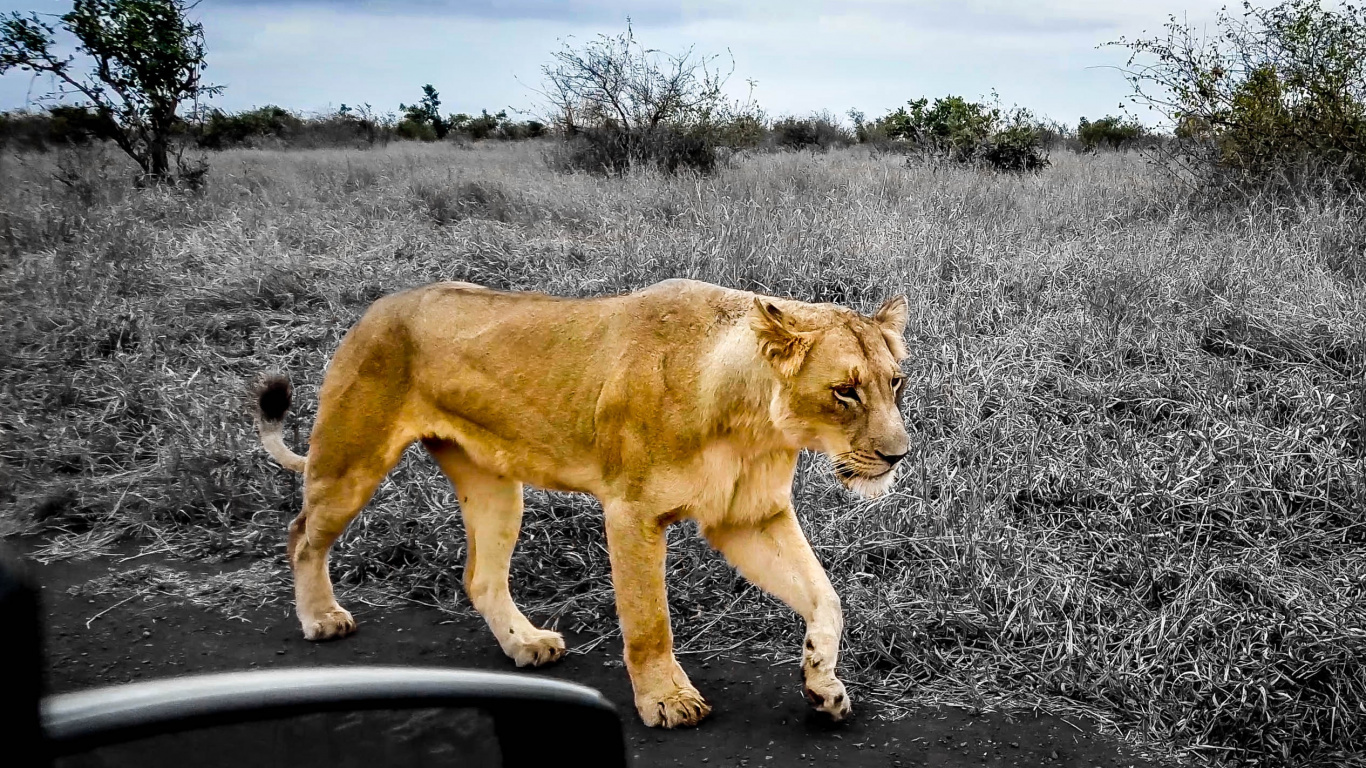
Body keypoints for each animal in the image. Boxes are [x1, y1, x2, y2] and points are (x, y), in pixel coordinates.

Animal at [250, 278, 911, 729]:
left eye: (894, 382)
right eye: (844, 391)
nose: (899, 455)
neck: (754, 424)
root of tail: (374, 307)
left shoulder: (748, 518)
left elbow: (825, 597)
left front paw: (823, 684)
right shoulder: (632, 512)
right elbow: (649, 620)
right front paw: (667, 699)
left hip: (494, 486)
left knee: (480, 576)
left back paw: (525, 643)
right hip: (351, 461)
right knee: (302, 533)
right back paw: (321, 618)